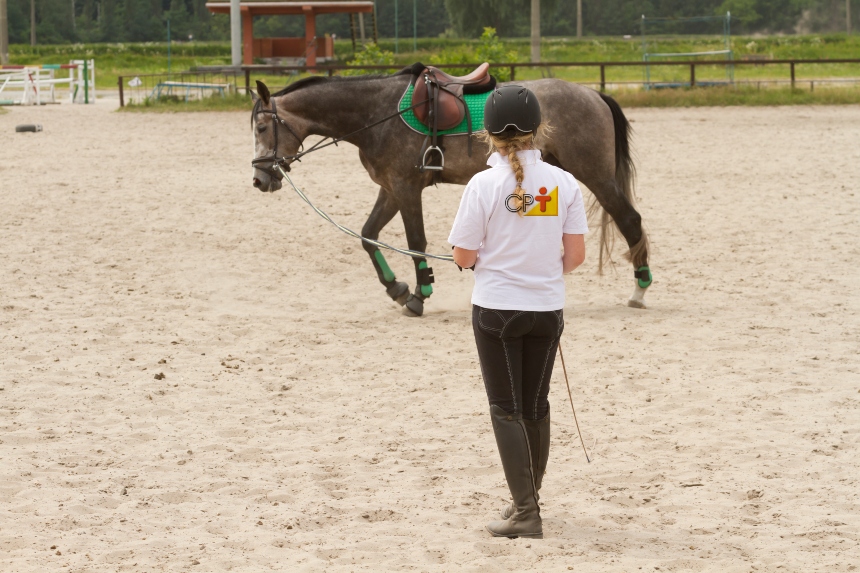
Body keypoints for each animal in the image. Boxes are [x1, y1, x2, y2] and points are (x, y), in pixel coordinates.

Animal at [252, 70, 648, 318]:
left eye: (261, 127)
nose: (259, 179)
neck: (376, 113)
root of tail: (592, 93)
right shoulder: (390, 189)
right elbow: (368, 236)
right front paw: (396, 287)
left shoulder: (406, 188)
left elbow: (416, 241)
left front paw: (418, 295)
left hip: (595, 174)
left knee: (629, 219)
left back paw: (640, 289)